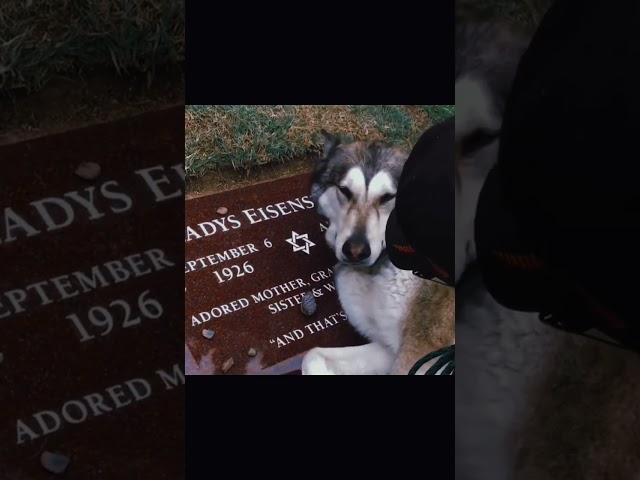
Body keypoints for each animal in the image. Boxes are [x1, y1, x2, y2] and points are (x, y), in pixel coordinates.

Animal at [302, 132, 456, 376]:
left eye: (387, 197)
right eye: (345, 191)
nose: (356, 252)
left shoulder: (419, 352)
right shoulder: (390, 348)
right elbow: (311, 354)